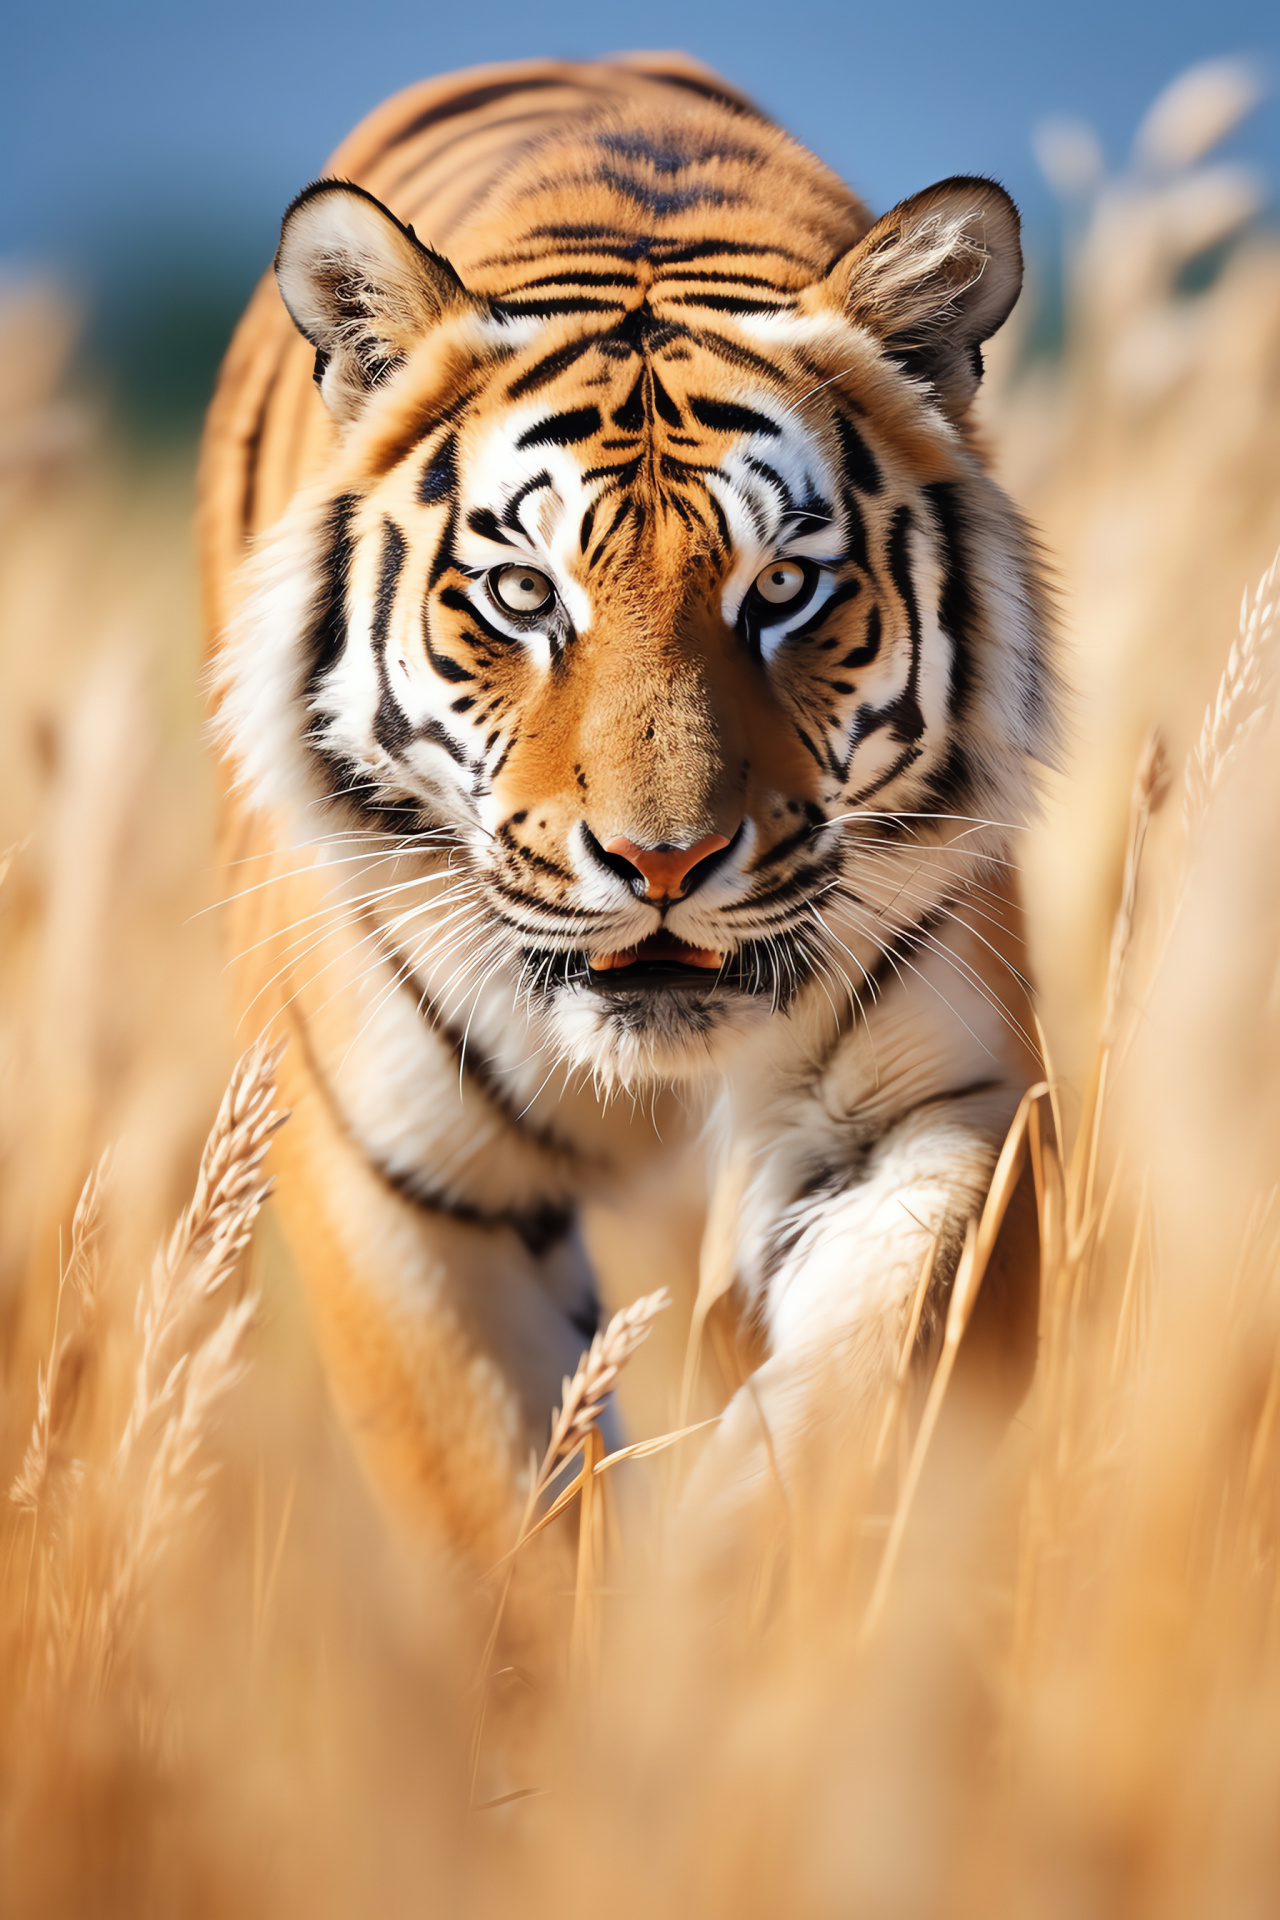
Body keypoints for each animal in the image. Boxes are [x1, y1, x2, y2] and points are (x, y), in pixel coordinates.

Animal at [205, 52, 1059, 1566]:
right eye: (522, 593)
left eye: (783, 589)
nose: (666, 863)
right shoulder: (398, 1182)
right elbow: (506, 1517)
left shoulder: (949, 1103)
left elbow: (859, 1390)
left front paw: (730, 1574)